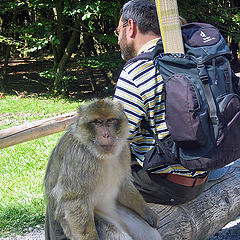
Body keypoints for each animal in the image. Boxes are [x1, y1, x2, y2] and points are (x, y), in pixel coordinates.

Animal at [44, 98, 162, 240]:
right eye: (98, 122)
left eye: (109, 121)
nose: (106, 135)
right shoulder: (79, 158)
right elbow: (73, 201)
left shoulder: (123, 149)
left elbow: (124, 184)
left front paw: (148, 213)